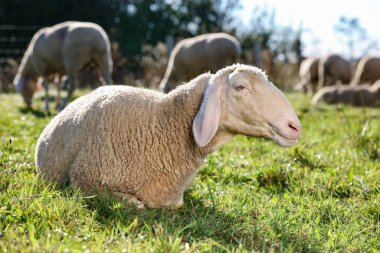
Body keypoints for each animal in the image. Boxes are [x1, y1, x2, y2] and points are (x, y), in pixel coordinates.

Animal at [36, 64, 302, 209]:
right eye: (240, 87)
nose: (295, 126)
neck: (160, 124)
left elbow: (176, 203)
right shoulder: (82, 180)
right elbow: (134, 204)